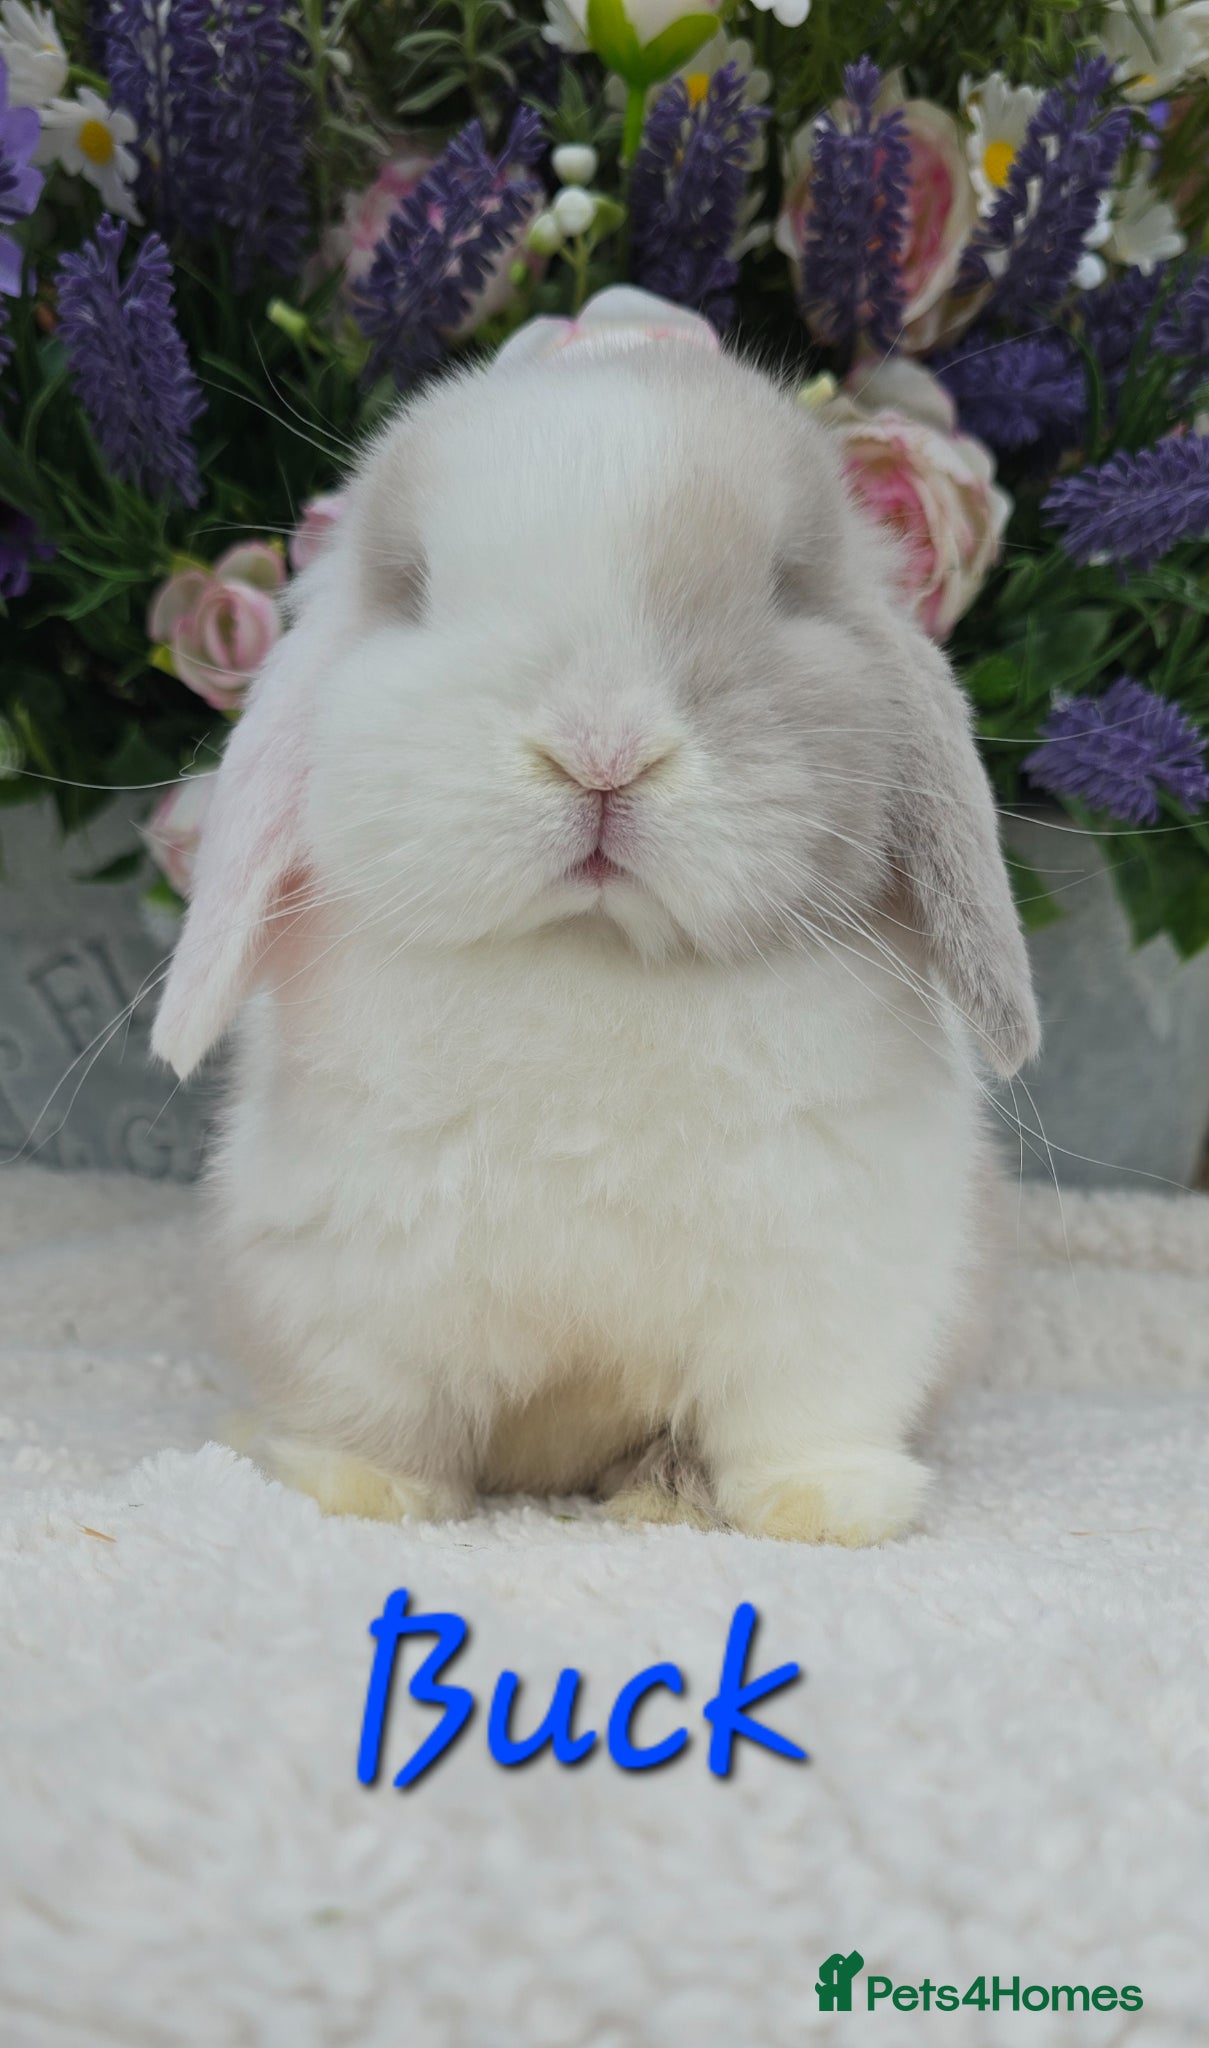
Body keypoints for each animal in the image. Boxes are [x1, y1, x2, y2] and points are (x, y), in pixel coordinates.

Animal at [152, 323, 1039, 1546]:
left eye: (788, 586)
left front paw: (824, 1506)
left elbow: (801, 1411)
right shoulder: (348, 1284)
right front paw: (358, 1492)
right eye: (415, 589)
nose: (602, 747)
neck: (594, 953)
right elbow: (374, 1410)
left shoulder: (837, 1279)